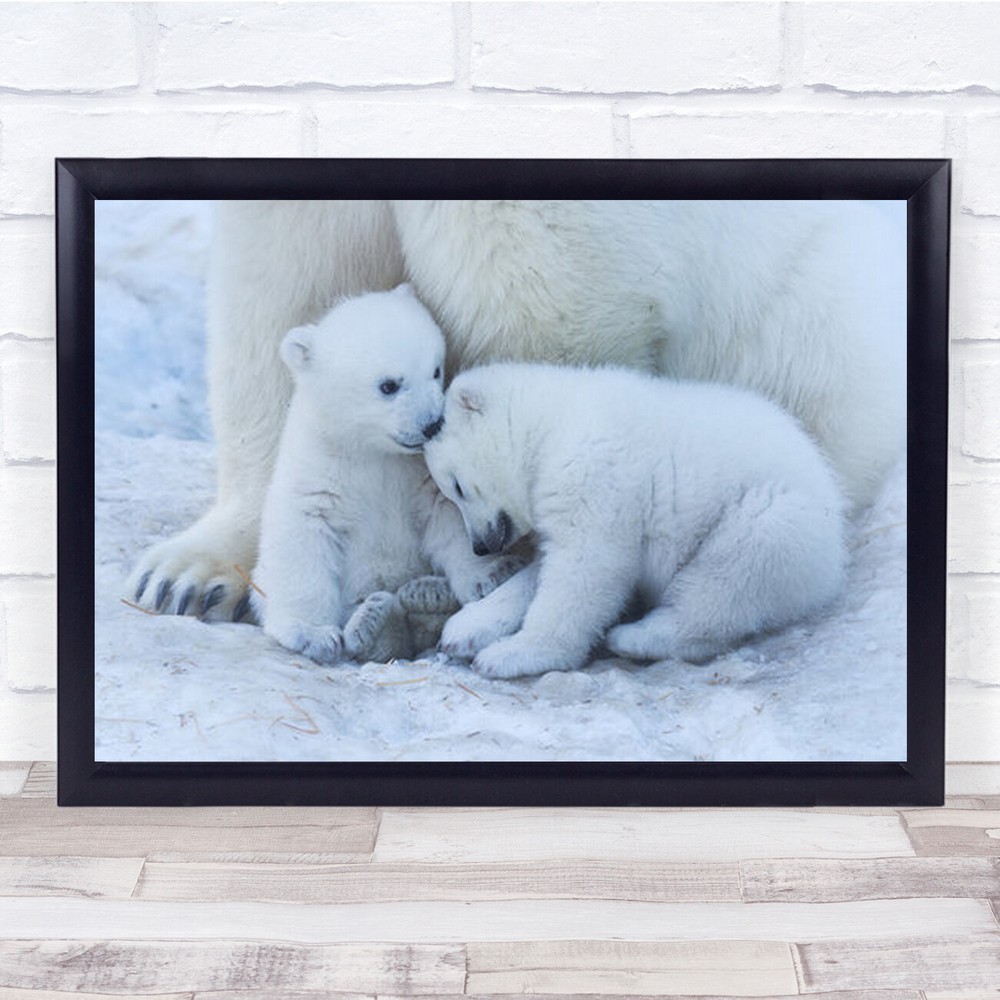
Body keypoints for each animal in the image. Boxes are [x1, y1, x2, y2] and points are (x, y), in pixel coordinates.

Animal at [250, 285, 520, 664]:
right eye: (389, 385)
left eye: (436, 370)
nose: (431, 424)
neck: (373, 452)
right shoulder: (317, 473)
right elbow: (301, 537)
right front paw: (311, 634)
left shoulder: (417, 475)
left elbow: (448, 516)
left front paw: (491, 574)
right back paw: (374, 622)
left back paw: (427, 597)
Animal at [423, 363, 847, 679]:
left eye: (457, 487)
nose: (481, 545)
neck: (552, 423)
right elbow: (542, 569)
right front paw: (467, 627)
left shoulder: (593, 474)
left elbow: (584, 571)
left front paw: (511, 653)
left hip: (773, 516)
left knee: (725, 580)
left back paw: (635, 636)